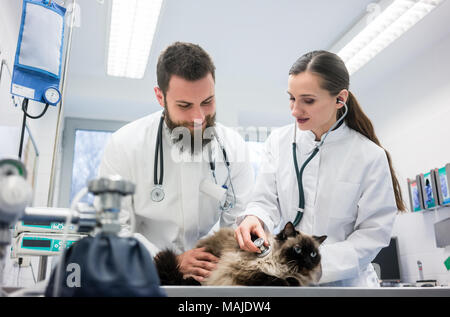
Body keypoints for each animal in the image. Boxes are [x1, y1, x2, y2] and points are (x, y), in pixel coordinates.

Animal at [155, 221, 326, 286]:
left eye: (313, 254)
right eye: (298, 250)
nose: (307, 261)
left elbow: (293, 280)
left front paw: (291, 281)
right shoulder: (243, 271)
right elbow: (270, 277)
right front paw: (283, 282)